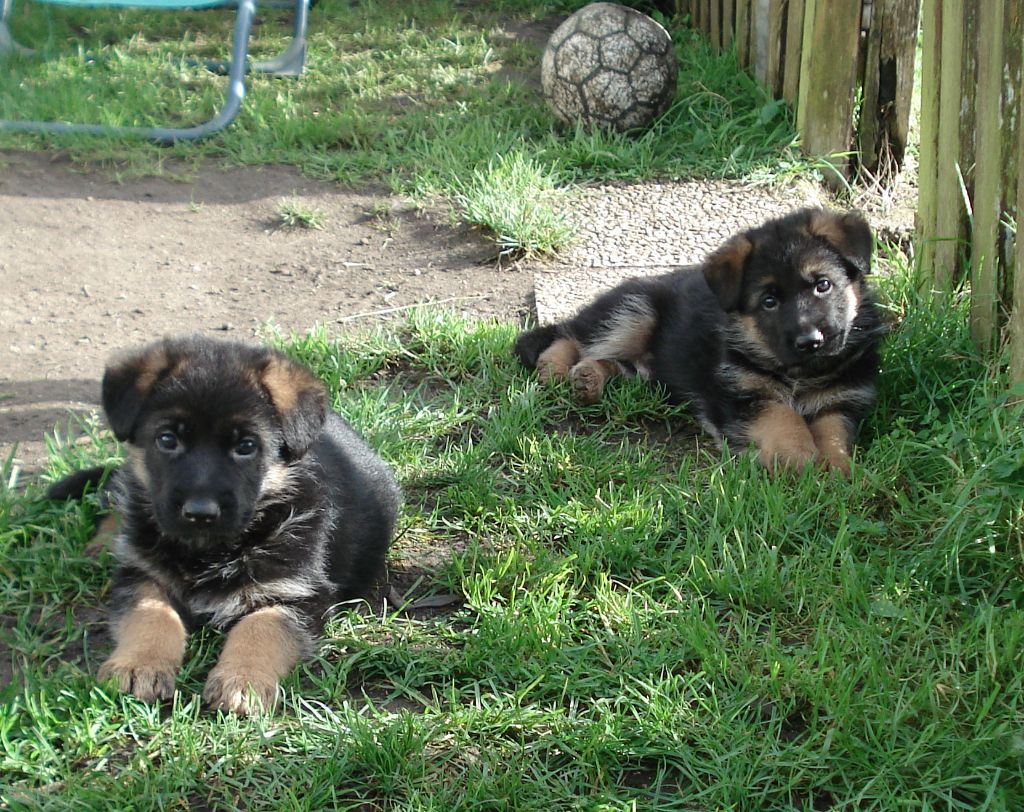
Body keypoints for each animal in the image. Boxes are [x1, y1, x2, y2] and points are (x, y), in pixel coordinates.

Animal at [48, 331, 399, 712]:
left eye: (246, 446)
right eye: (167, 440)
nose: (200, 512)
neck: (210, 551)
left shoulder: (295, 593)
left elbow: (260, 629)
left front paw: (242, 680)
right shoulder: (143, 576)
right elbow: (151, 614)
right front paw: (138, 664)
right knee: (118, 489)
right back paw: (102, 543)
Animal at [516, 208, 884, 471]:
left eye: (823, 285)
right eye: (769, 301)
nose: (811, 341)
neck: (801, 373)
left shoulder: (841, 400)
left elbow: (834, 434)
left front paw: (838, 469)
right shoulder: (740, 395)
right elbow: (783, 416)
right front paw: (798, 457)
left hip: (646, 365)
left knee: (611, 360)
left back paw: (588, 379)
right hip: (635, 312)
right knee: (571, 334)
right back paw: (554, 368)